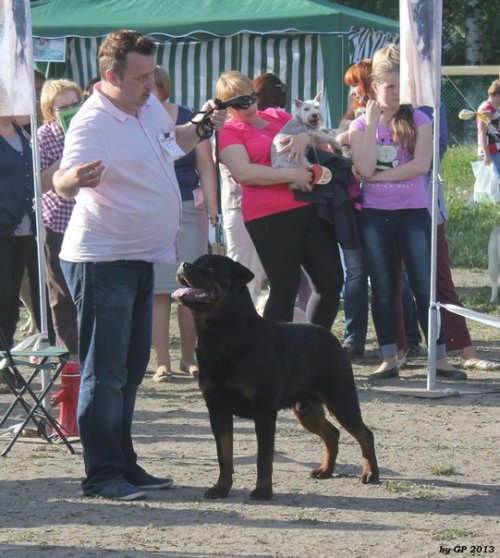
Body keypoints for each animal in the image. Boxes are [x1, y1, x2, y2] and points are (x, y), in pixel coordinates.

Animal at [174, 256, 376, 500]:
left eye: (211, 268)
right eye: (196, 262)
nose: (184, 264)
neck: (221, 335)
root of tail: (330, 336)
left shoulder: (264, 412)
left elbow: (263, 457)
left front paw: (262, 491)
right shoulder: (217, 410)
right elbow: (224, 455)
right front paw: (221, 487)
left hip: (340, 398)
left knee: (364, 433)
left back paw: (370, 474)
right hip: (306, 408)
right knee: (332, 433)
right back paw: (326, 470)